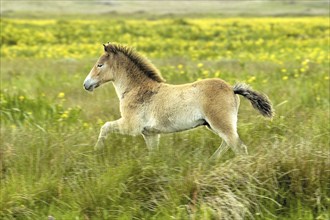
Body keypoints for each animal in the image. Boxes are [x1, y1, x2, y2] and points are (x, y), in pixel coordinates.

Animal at [83, 42, 274, 156]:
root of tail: (232, 89)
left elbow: (105, 127)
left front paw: (96, 150)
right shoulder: (150, 134)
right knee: (227, 144)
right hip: (213, 124)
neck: (136, 89)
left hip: (220, 123)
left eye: (99, 65)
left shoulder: (131, 126)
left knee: (238, 147)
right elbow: (153, 155)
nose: (86, 84)